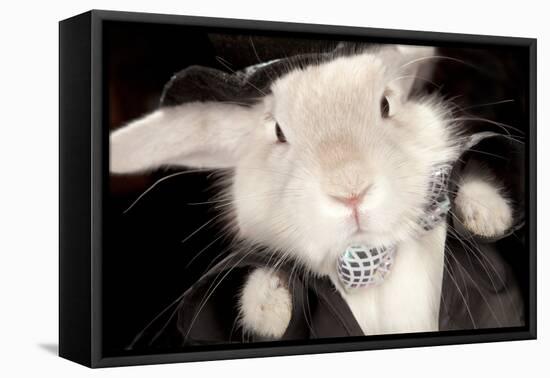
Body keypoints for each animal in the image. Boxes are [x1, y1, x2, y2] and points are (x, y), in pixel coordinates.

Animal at [110, 45, 516, 340]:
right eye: (277, 132)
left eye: (386, 104)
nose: (350, 190)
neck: (372, 262)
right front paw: (267, 308)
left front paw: (489, 215)